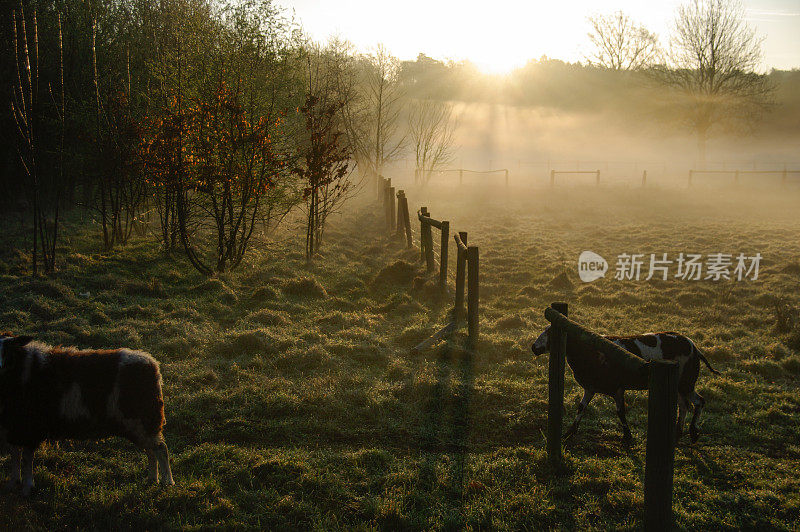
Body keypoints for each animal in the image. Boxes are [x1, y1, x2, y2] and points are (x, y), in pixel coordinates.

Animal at [0, 334, 174, 496]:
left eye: (7, 351)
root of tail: (152, 364)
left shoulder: (30, 428)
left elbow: (26, 459)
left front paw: (27, 488)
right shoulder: (12, 427)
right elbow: (15, 455)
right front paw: (13, 483)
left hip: (142, 420)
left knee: (161, 449)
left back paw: (167, 482)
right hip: (138, 424)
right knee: (151, 451)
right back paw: (152, 479)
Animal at [536, 328, 720, 444]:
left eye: (551, 333)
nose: (534, 347)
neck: (589, 352)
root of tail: (694, 347)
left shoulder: (617, 389)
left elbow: (620, 412)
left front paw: (627, 436)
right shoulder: (591, 388)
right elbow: (581, 407)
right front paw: (570, 431)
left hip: (686, 381)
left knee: (699, 402)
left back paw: (693, 432)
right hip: (679, 384)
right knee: (684, 406)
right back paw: (677, 434)